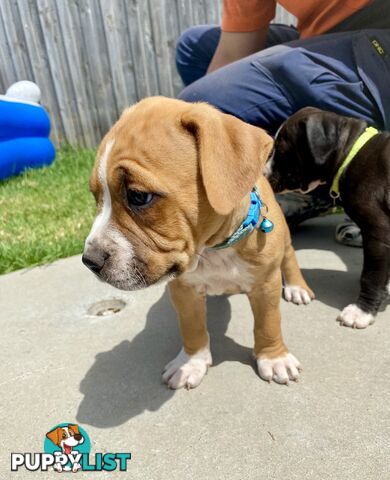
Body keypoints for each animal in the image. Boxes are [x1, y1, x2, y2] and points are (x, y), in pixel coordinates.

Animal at [82, 97, 314, 390]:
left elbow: (268, 322)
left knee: (290, 255)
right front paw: (190, 363)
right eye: (95, 197)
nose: (89, 260)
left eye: (138, 196)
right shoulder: (184, 289)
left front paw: (274, 358)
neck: (212, 248)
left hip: (282, 240)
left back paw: (297, 287)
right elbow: (192, 327)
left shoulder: (265, 284)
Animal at [266, 107, 390, 328]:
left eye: (280, 149)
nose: (263, 172)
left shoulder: (378, 232)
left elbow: (372, 275)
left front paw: (361, 312)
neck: (351, 155)